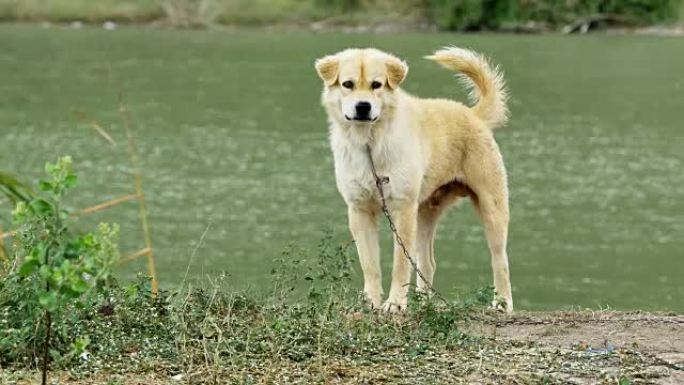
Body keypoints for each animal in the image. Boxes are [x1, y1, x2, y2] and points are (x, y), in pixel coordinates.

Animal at [312, 47, 510, 312]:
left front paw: (395, 304)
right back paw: (423, 304)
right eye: (347, 84)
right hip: (425, 214)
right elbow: (370, 265)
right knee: (428, 264)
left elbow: (400, 264)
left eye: (377, 85)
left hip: (492, 207)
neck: (370, 144)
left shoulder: (402, 208)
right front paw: (370, 302)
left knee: (500, 260)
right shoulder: (359, 210)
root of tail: (472, 114)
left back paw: (502, 303)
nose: (363, 106)